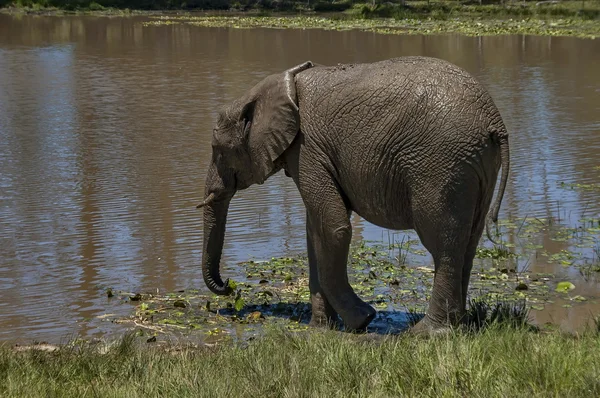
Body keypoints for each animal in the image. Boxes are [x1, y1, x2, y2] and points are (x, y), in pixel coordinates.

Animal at [199, 56, 508, 332]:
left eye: (217, 150)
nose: (229, 286)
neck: (271, 88)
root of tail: (495, 122)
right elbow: (315, 233)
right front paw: (321, 328)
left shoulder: (307, 149)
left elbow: (333, 227)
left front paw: (363, 320)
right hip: (474, 164)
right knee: (468, 242)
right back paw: (459, 327)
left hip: (441, 165)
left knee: (442, 243)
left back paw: (426, 333)